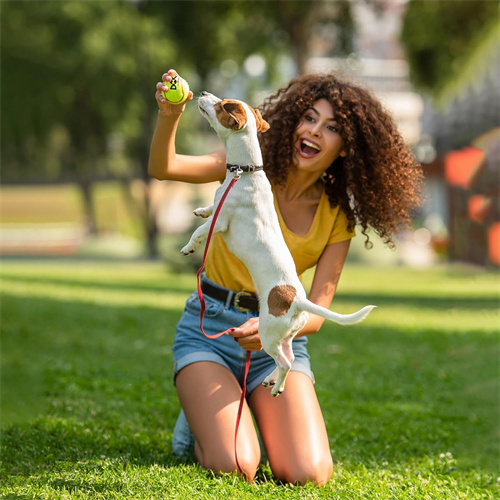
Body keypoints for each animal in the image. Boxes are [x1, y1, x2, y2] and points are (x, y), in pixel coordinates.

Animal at [181, 92, 376, 396]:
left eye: (221, 104)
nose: (202, 94)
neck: (245, 171)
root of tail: (297, 301)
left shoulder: (222, 220)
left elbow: (201, 231)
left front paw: (188, 247)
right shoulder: (219, 204)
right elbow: (209, 208)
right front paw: (201, 209)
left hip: (267, 331)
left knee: (285, 360)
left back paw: (276, 386)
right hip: (286, 334)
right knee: (290, 355)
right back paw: (273, 380)